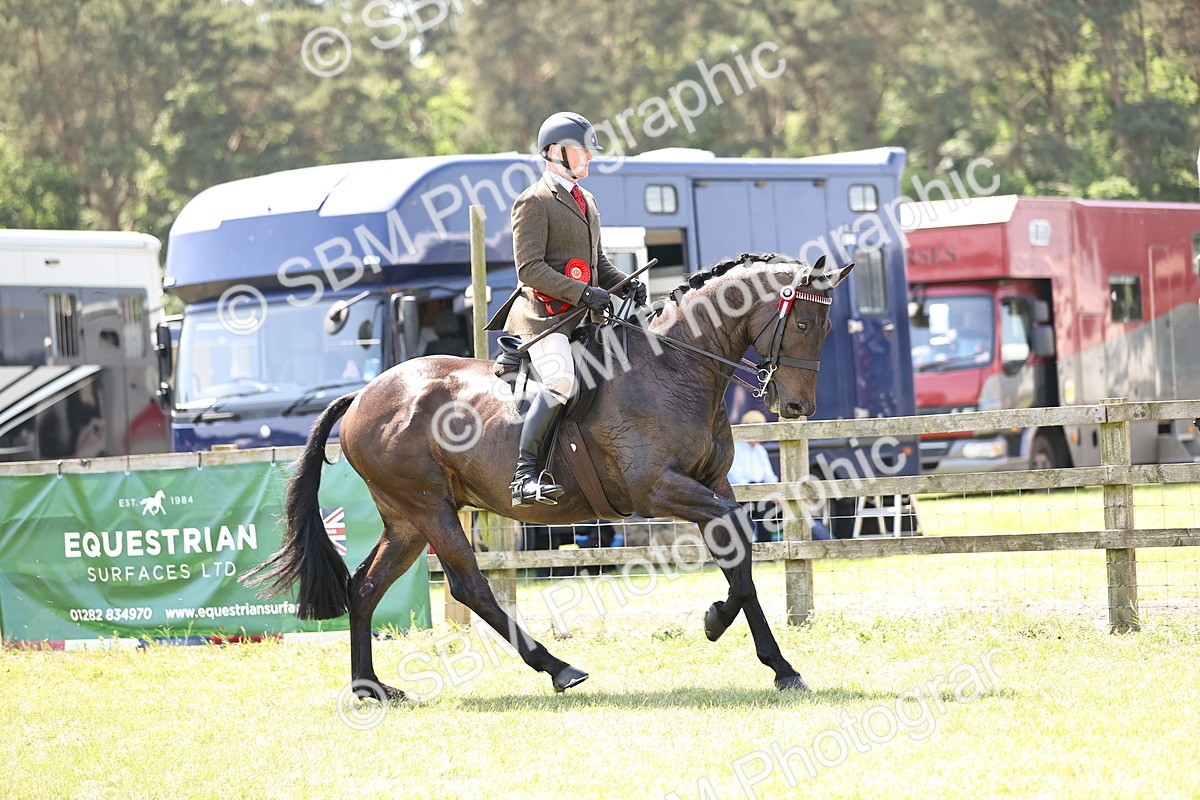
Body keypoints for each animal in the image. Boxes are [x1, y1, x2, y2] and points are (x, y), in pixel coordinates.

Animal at [245, 253, 853, 700]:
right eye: (803, 322)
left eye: (827, 327)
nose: (797, 407)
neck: (674, 366)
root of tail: (362, 397)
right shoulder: (660, 489)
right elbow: (738, 548)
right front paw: (743, 639)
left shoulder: (712, 485)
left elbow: (739, 556)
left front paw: (752, 646)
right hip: (430, 509)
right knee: (470, 586)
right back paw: (558, 667)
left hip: (407, 520)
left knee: (366, 586)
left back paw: (370, 687)